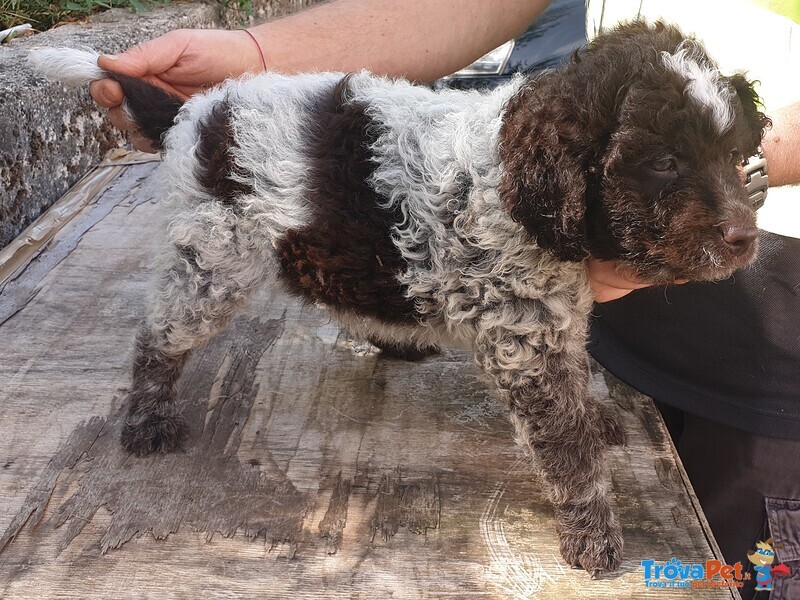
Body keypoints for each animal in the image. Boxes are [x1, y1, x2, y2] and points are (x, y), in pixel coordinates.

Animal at [29, 22, 768, 572]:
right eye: (664, 163)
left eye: (736, 157)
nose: (744, 239)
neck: (519, 180)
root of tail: (201, 110)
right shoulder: (520, 335)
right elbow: (565, 444)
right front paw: (593, 533)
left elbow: (576, 376)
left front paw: (596, 414)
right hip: (213, 255)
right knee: (161, 336)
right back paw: (147, 418)